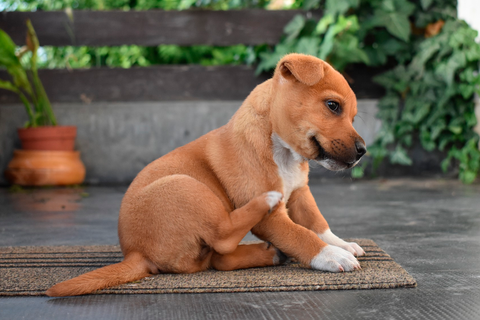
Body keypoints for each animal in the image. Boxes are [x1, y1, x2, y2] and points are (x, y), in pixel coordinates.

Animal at [46, 53, 368, 296]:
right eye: (332, 105)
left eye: (353, 117)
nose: (363, 150)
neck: (282, 151)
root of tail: (137, 253)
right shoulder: (273, 219)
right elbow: (300, 234)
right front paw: (330, 255)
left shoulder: (300, 193)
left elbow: (317, 223)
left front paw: (341, 244)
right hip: (186, 186)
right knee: (222, 237)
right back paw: (265, 212)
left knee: (219, 258)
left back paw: (269, 254)